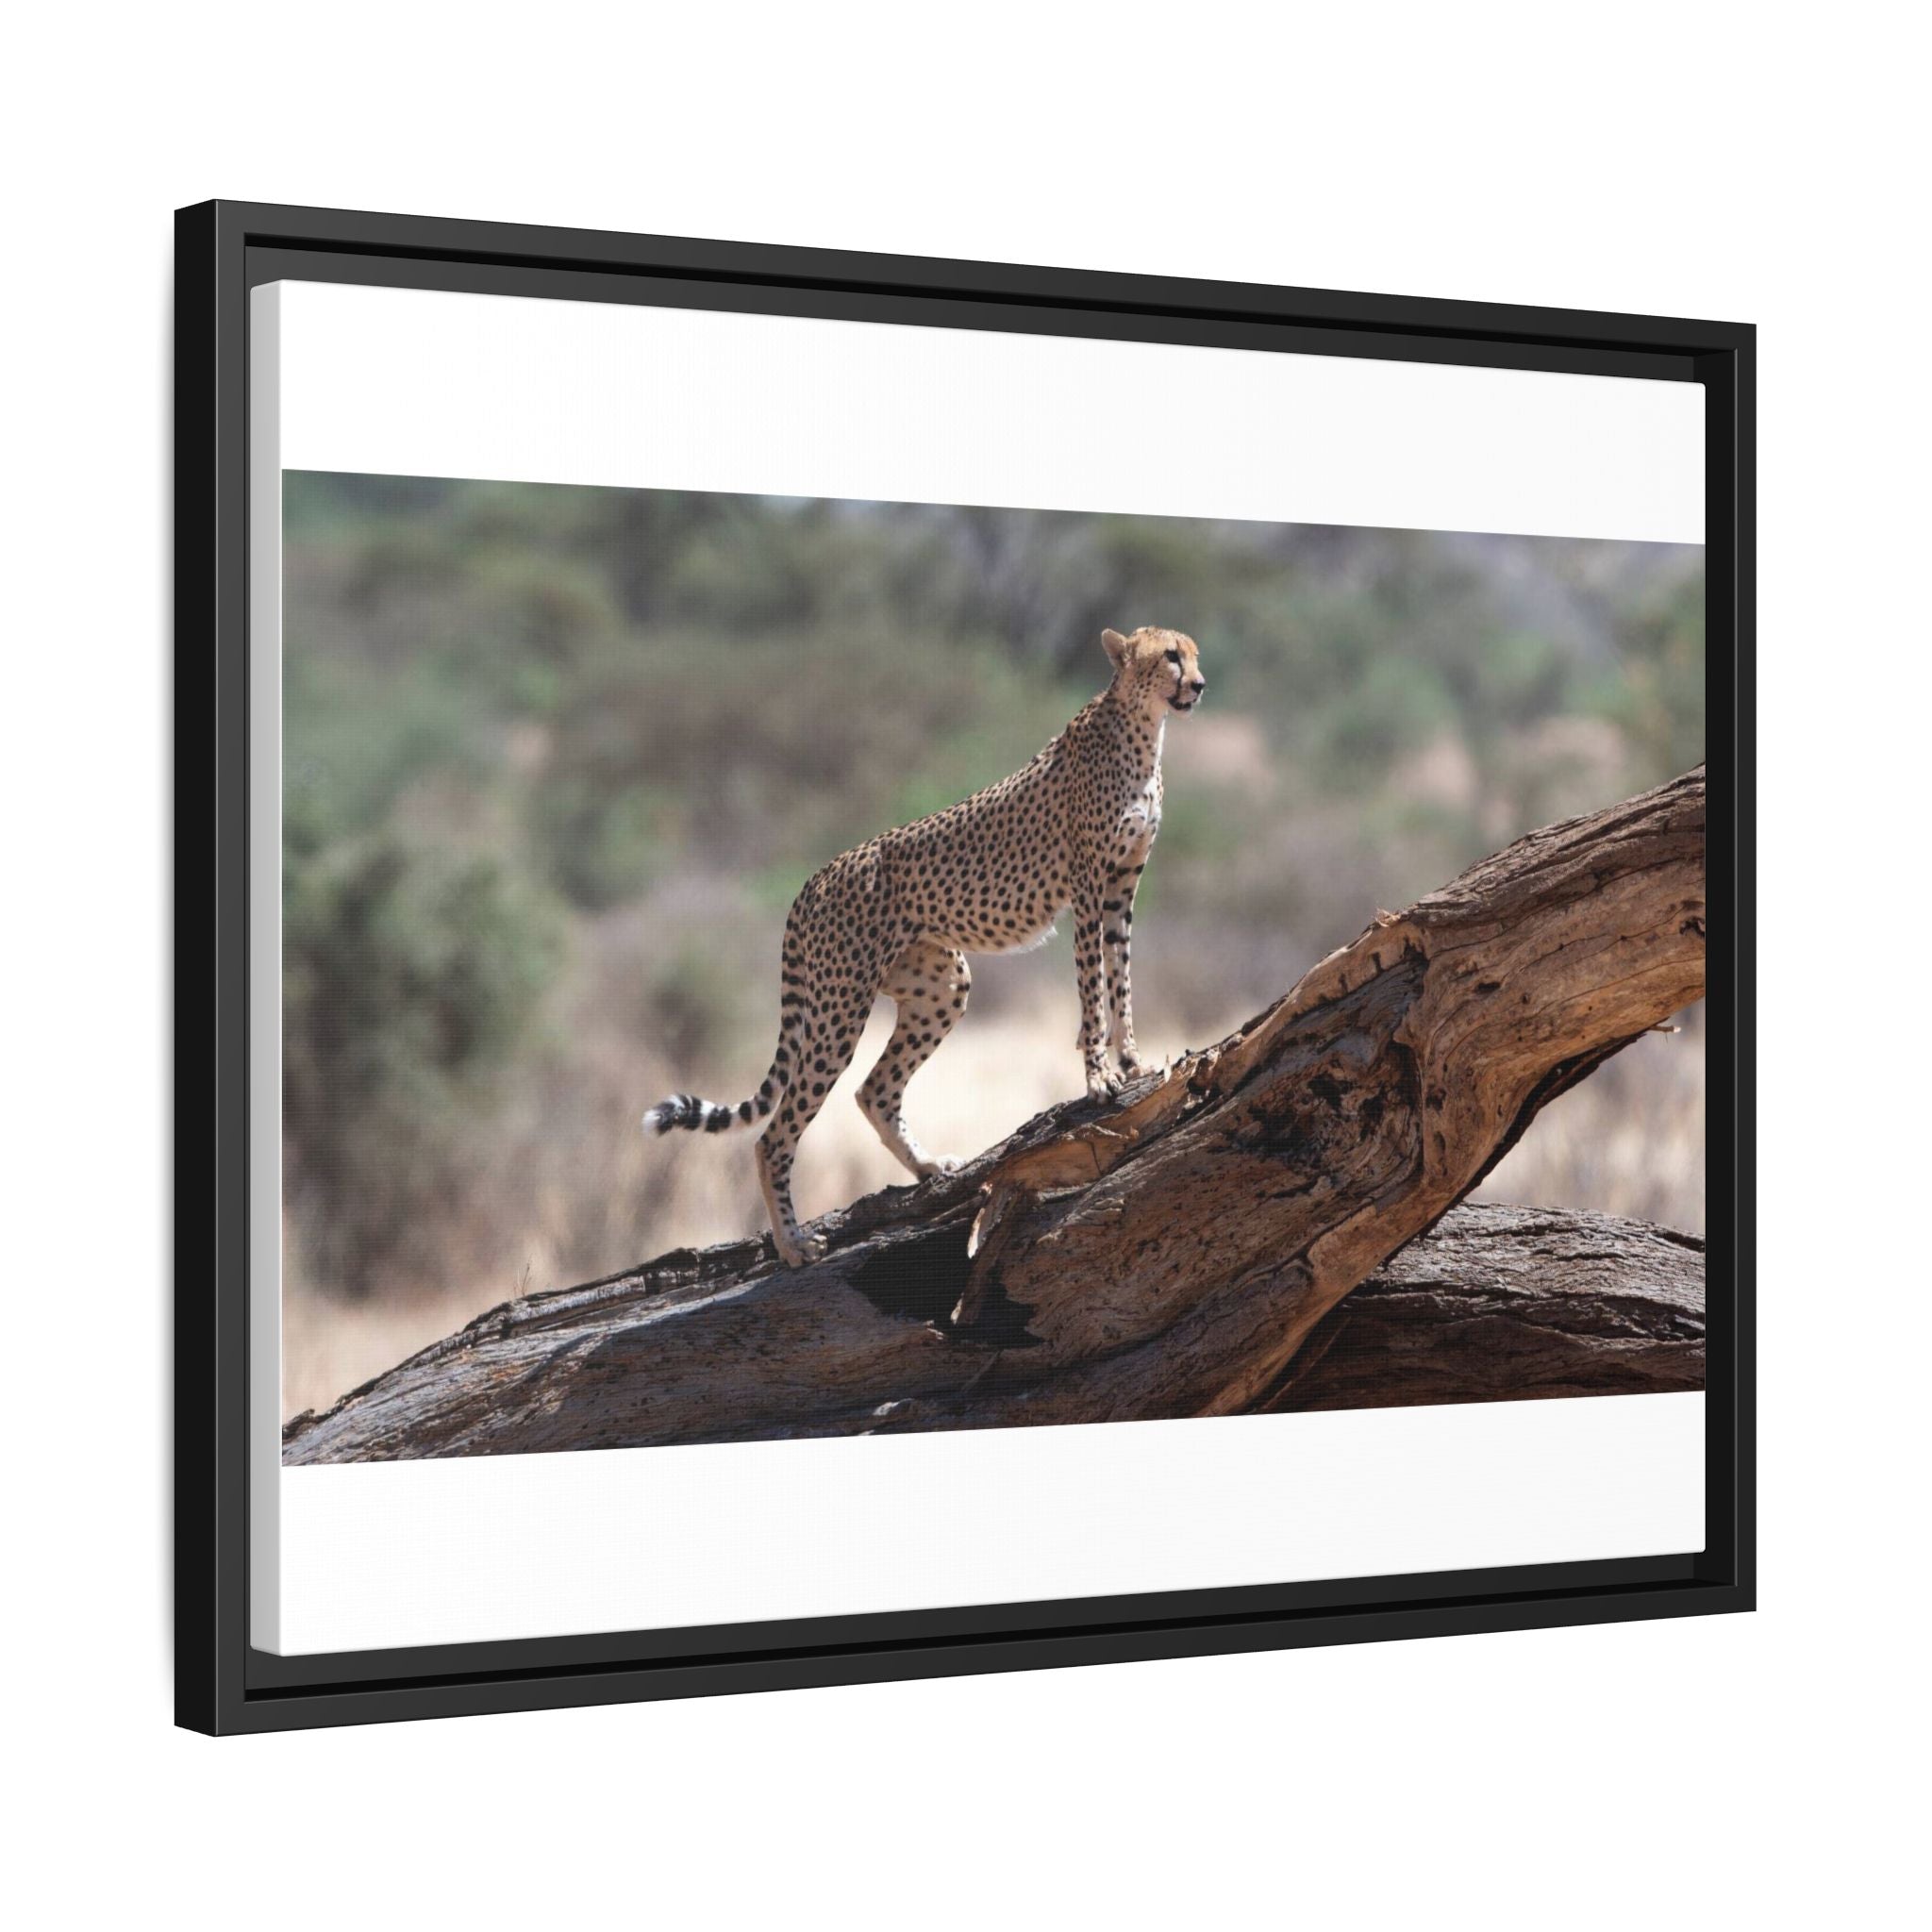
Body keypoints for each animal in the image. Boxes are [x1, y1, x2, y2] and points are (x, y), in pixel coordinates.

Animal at [644, 625, 1207, 1267]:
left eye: (1193, 654)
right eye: (1170, 656)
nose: (1198, 684)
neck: (1142, 729)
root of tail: (816, 876)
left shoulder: (1121, 888)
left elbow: (1121, 978)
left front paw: (1134, 1060)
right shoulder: (1089, 888)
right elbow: (1092, 987)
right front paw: (1098, 1077)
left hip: (941, 986)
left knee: (874, 1090)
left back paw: (928, 1167)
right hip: (839, 1007)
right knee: (776, 1132)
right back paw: (793, 1244)